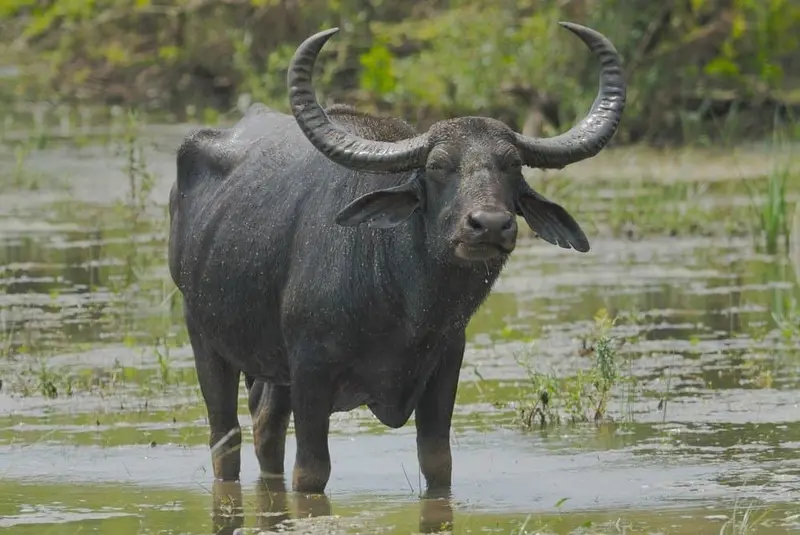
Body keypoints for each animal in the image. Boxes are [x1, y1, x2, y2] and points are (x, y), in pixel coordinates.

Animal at [168, 22, 626, 495]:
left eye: (513, 165)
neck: (405, 306)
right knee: (226, 439)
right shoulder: (311, 371)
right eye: (439, 166)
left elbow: (437, 463)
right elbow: (311, 472)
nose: (489, 225)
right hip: (203, 335)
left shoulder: (445, 364)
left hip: (272, 370)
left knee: (265, 428)